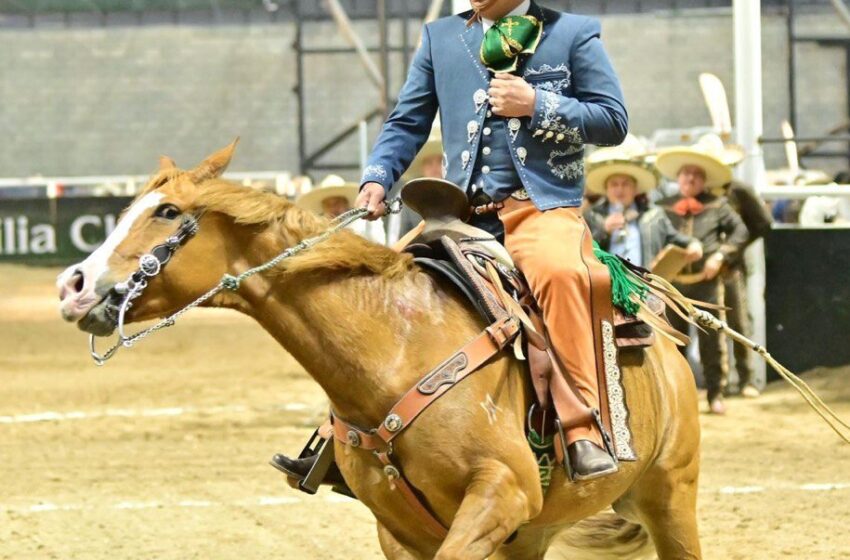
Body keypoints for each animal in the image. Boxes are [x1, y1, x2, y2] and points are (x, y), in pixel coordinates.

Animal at [56, 145, 700, 560]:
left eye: (166, 212)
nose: (72, 284)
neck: (396, 351)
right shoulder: (401, 529)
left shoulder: (501, 492)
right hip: (537, 532)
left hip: (670, 495)